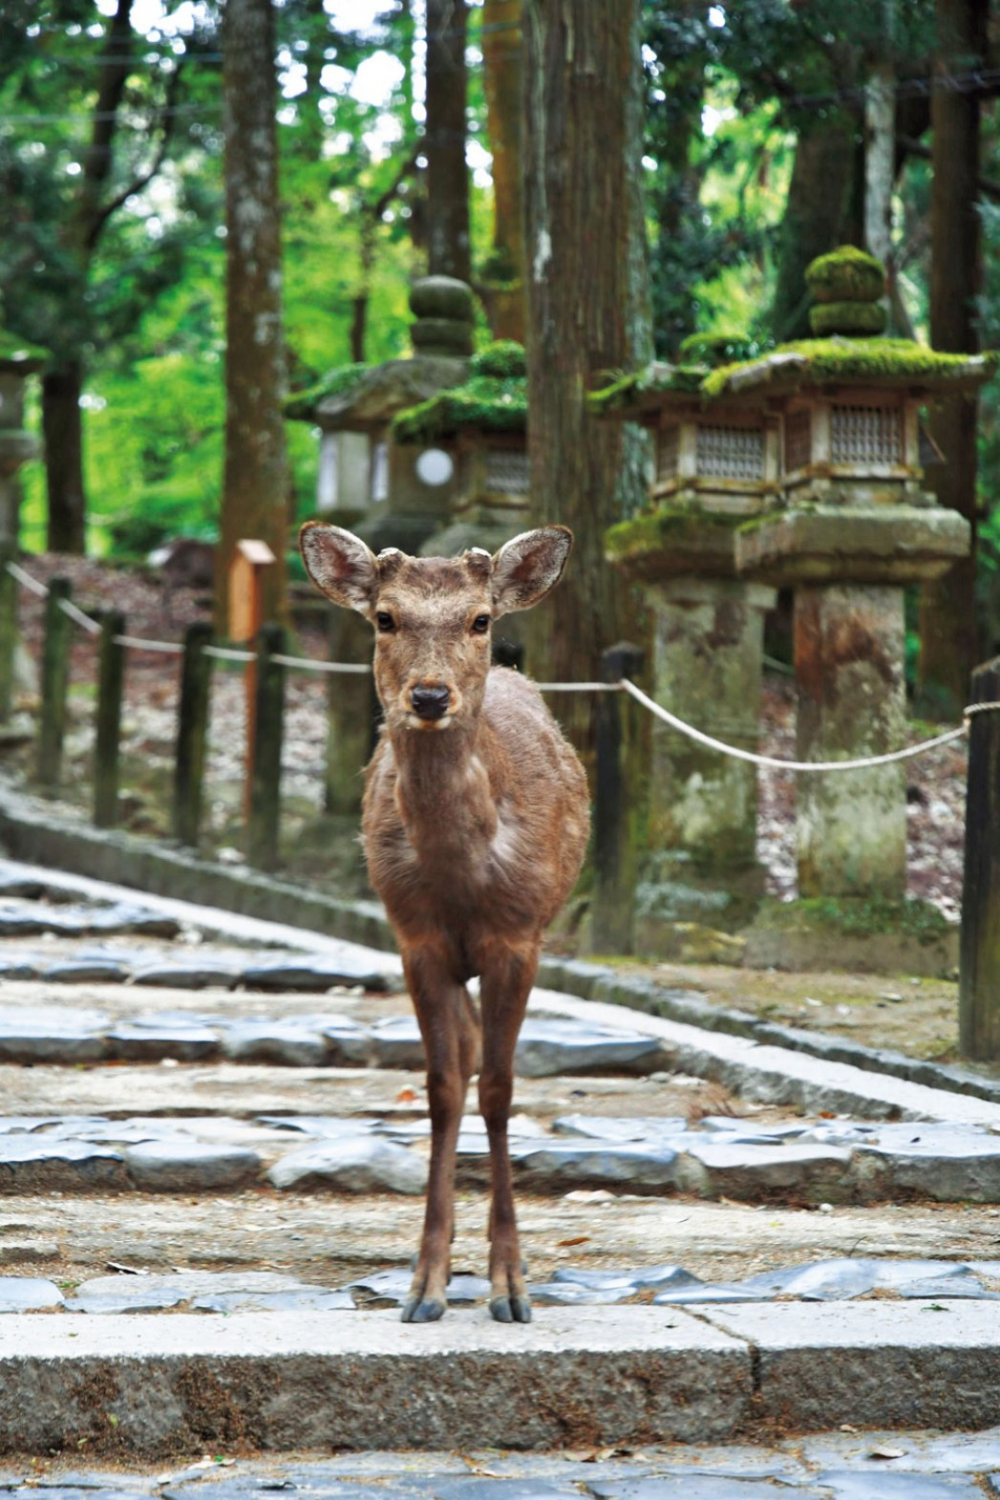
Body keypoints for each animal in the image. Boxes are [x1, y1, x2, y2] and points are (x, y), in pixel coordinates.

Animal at [301, 522, 590, 1320]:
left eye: (479, 619)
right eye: (385, 617)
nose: (430, 695)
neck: (462, 878)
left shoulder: (518, 937)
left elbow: (500, 1088)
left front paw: (512, 1288)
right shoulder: (416, 939)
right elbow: (439, 1087)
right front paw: (424, 1286)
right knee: (458, 1061)